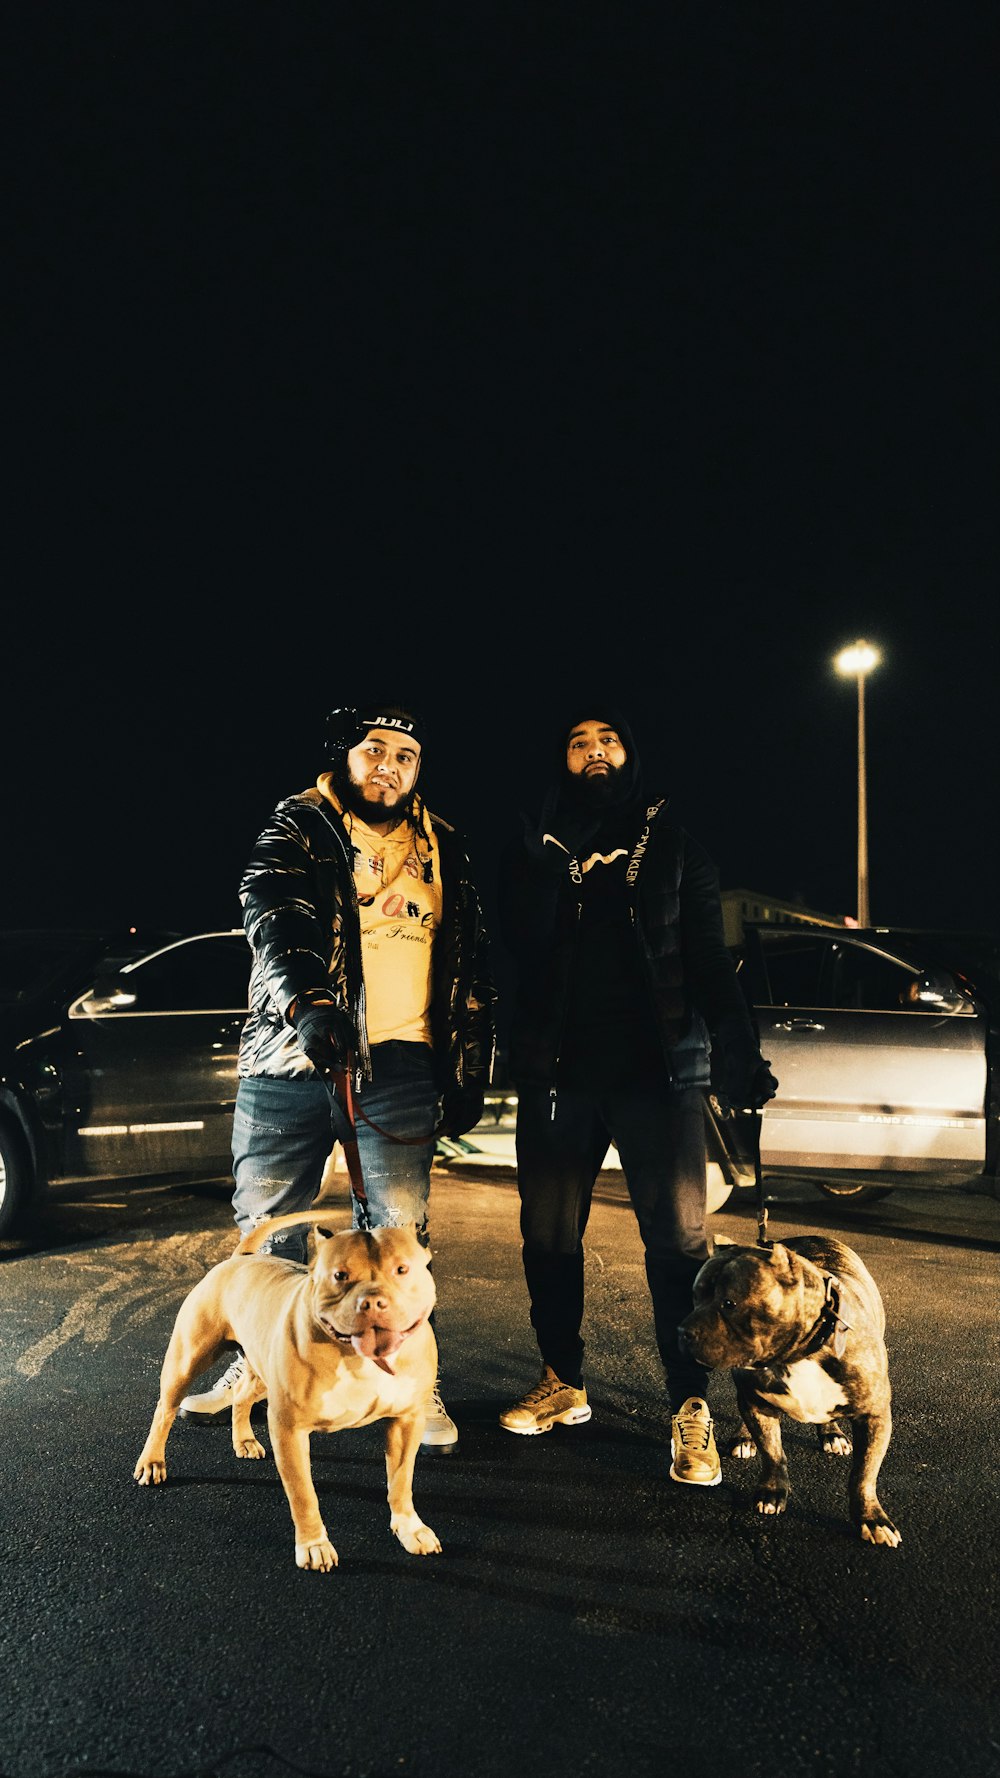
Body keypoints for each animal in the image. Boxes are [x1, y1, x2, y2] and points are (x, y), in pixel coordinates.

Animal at [132, 1209, 439, 1571]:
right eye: (340, 1275)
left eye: (402, 1270)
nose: (374, 1301)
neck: (358, 1360)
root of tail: (241, 1258)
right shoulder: (289, 1429)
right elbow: (304, 1494)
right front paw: (314, 1545)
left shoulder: (407, 1421)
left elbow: (401, 1481)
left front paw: (410, 1527)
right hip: (187, 1359)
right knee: (164, 1410)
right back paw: (152, 1462)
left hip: (261, 1369)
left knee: (241, 1394)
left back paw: (244, 1440)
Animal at [676, 1237, 896, 1543]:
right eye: (695, 1297)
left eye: (729, 1303)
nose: (682, 1331)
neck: (799, 1354)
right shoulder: (757, 1404)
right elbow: (773, 1453)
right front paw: (772, 1492)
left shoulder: (874, 1417)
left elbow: (863, 1475)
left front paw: (872, 1519)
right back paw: (745, 1438)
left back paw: (831, 1434)